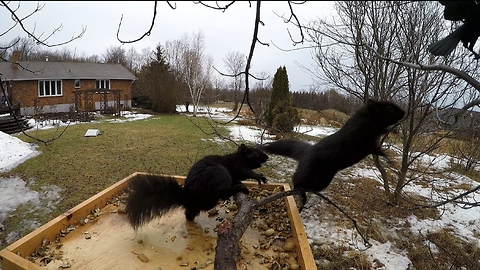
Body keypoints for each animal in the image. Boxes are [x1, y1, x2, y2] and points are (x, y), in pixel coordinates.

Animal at [125, 143, 268, 230]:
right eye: (256, 153)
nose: (266, 156)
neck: (238, 157)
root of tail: (191, 196)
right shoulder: (237, 167)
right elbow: (247, 173)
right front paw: (259, 177)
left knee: (190, 212)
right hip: (218, 173)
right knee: (222, 193)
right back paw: (238, 188)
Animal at [258, 99, 404, 207]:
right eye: (390, 109)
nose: (404, 112)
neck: (366, 121)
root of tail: (308, 151)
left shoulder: (374, 139)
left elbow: (383, 137)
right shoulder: (366, 142)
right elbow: (380, 150)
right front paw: (390, 160)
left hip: (324, 179)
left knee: (312, 186)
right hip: (308, 172)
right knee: (296, 179)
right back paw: (301, 194)